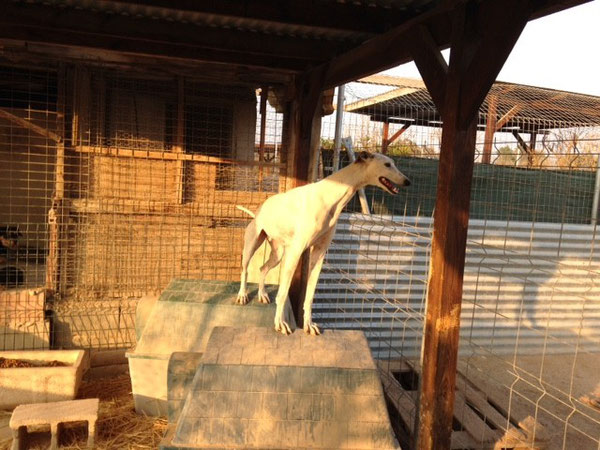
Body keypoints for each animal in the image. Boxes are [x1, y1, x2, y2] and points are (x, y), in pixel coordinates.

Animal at [237, 151, 410, 334]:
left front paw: (309, 325)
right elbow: (283, 293)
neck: (331, 195)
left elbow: (309, 297)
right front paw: (280, 323)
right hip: (252, 245)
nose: (408, 181)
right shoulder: (295, 252)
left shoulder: (319, 254)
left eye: (393, 163)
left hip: (278, 254)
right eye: (387, 164)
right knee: (245, 270)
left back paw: (262, 294)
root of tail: (259, 209)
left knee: (262, 269)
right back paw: (242, 295)